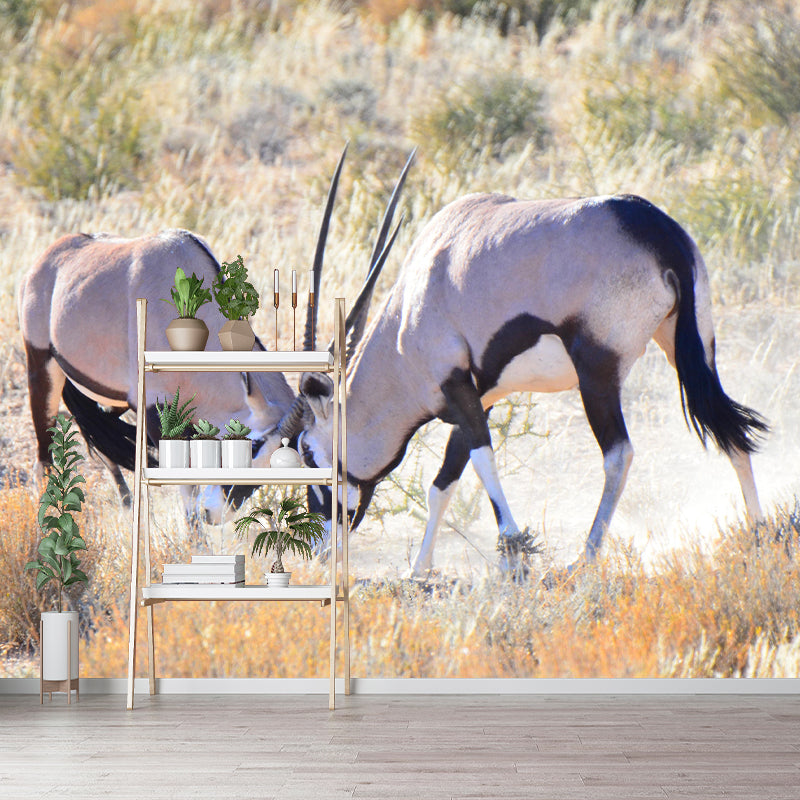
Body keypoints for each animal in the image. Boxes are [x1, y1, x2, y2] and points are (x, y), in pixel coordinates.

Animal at [291, 192, 767, 576]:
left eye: (307, 453)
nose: (319, 549)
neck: (407, 317)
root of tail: (656, 229)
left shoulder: (458, 388)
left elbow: (482, 461)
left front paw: (512, 551)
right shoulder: (482, 397)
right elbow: (443, 483)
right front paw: (419, 569)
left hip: (597, 373)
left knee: (619, 454)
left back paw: (584, 558)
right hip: (693, 347)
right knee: (731, 432)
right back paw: (759, 533)